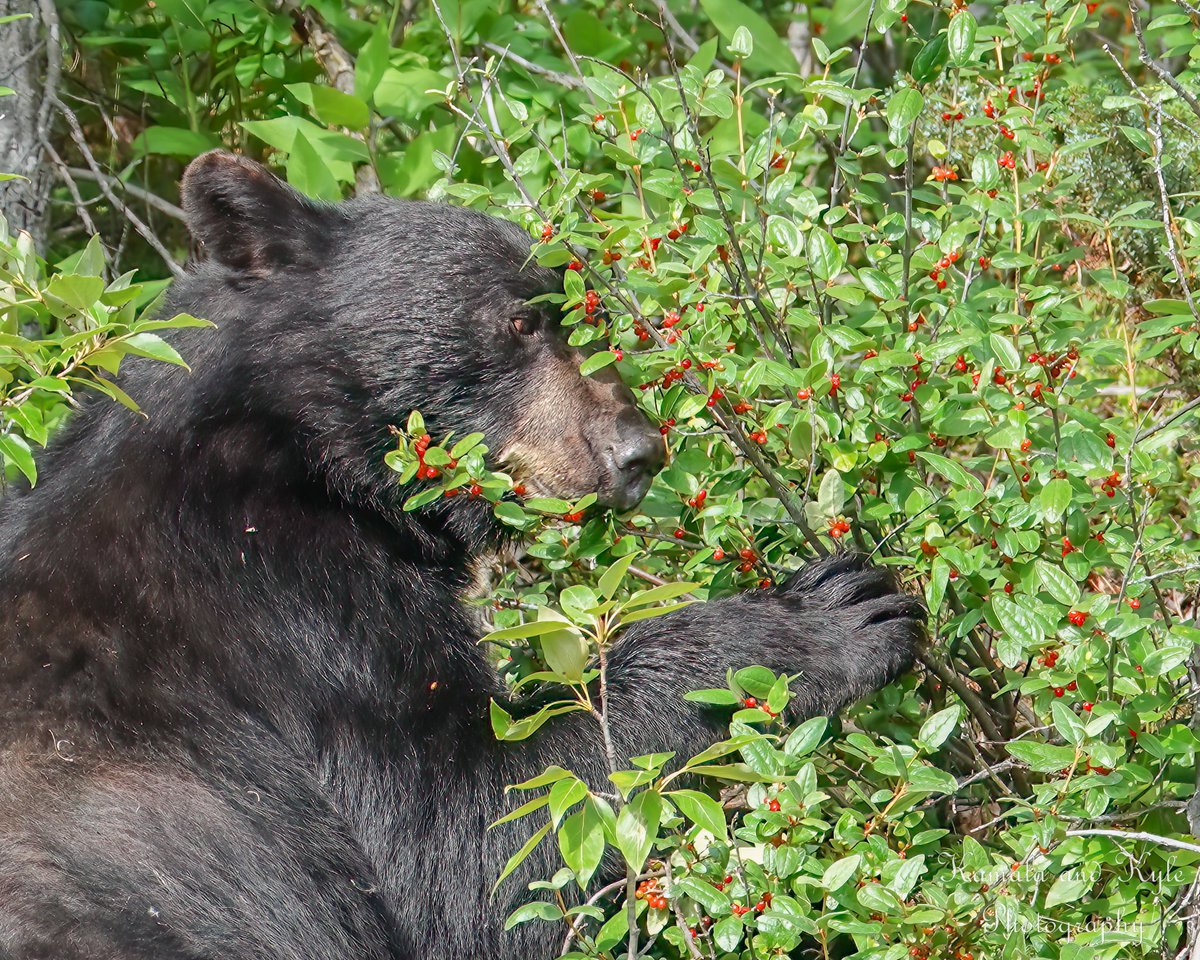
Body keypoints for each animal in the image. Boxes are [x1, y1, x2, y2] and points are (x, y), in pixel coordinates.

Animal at [0, 150, 923, 959]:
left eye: (588, 318)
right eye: (520, 321)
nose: (636, 451)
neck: (292, 444)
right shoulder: (286, 604)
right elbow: (473, 839)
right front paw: (833, 613)